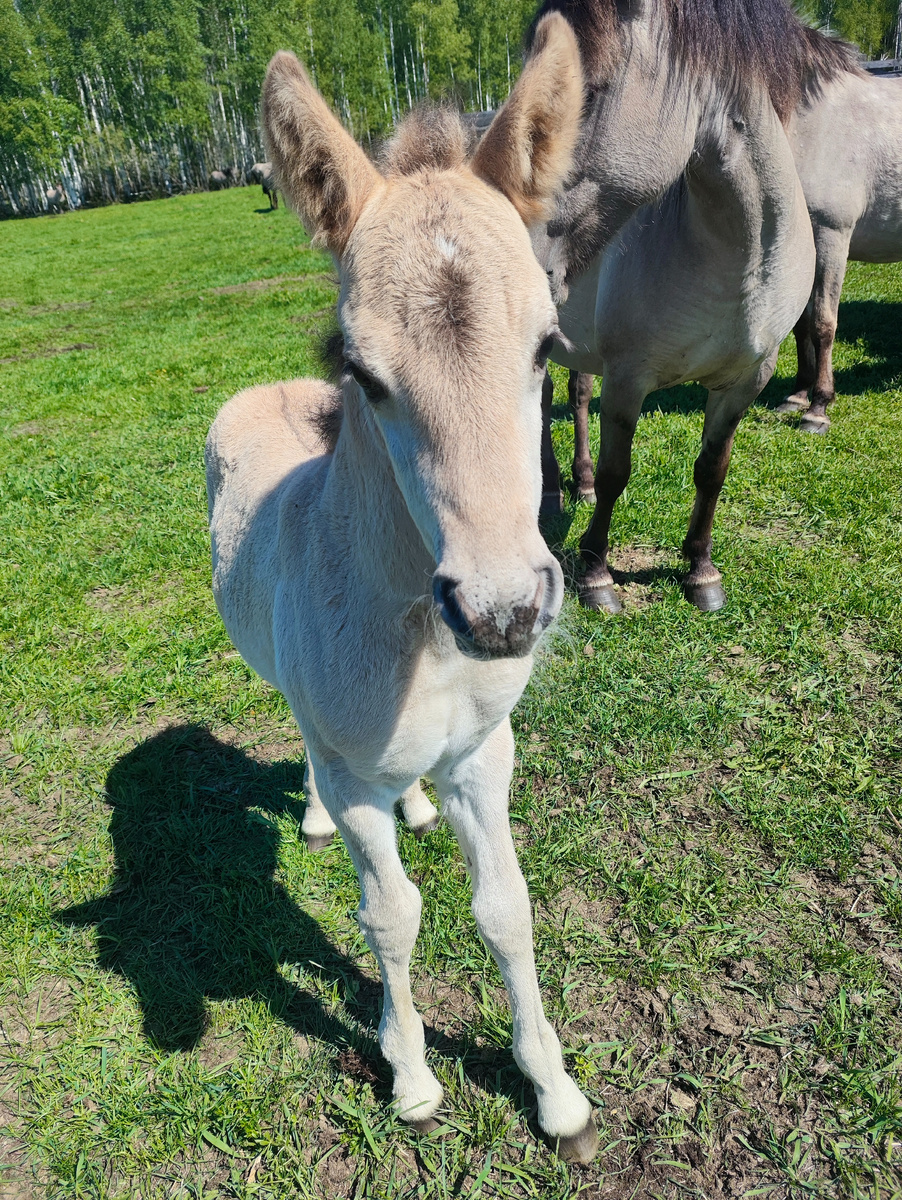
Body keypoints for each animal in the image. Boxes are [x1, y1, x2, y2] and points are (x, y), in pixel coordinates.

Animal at [205, 16, 599, 1161]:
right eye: (364, 374)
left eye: (548, 345)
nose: (503, 612)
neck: (419, 637)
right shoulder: (351, 766)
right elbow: (393, 917)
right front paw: (413, 1076)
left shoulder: (484, 754)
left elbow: (504, 907)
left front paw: (555, 1093)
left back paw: (415, 804)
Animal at [532, 0, 854, 614]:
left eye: (590, 91)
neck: (734, 257)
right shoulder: (628, 378)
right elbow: (617, 472)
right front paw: (596, 573)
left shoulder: (746, 381)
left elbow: (712, 471)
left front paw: (700, 570)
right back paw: (553, 494)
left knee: (575, 396)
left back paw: (576, 484)